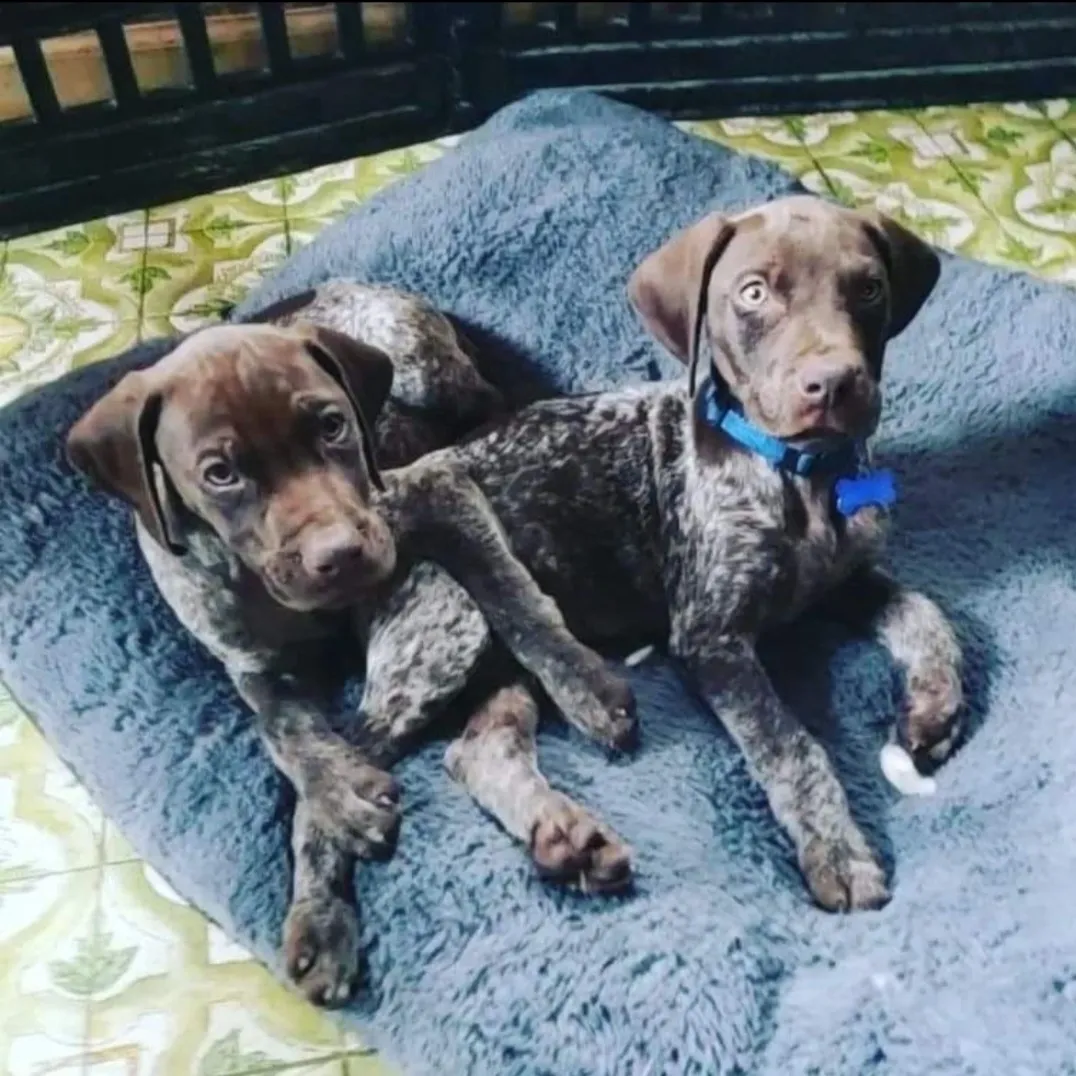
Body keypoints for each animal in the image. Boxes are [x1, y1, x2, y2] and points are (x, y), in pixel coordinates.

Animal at [65, 281, 636, 1002]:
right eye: (220, 473)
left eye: (332, 427)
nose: (338, 554)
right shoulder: (254, 670)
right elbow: (285, 735)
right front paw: (337, 807)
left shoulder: (433, 488)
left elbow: (509, 589)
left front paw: (583, 684)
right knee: (472, 746)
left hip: (432, 394)